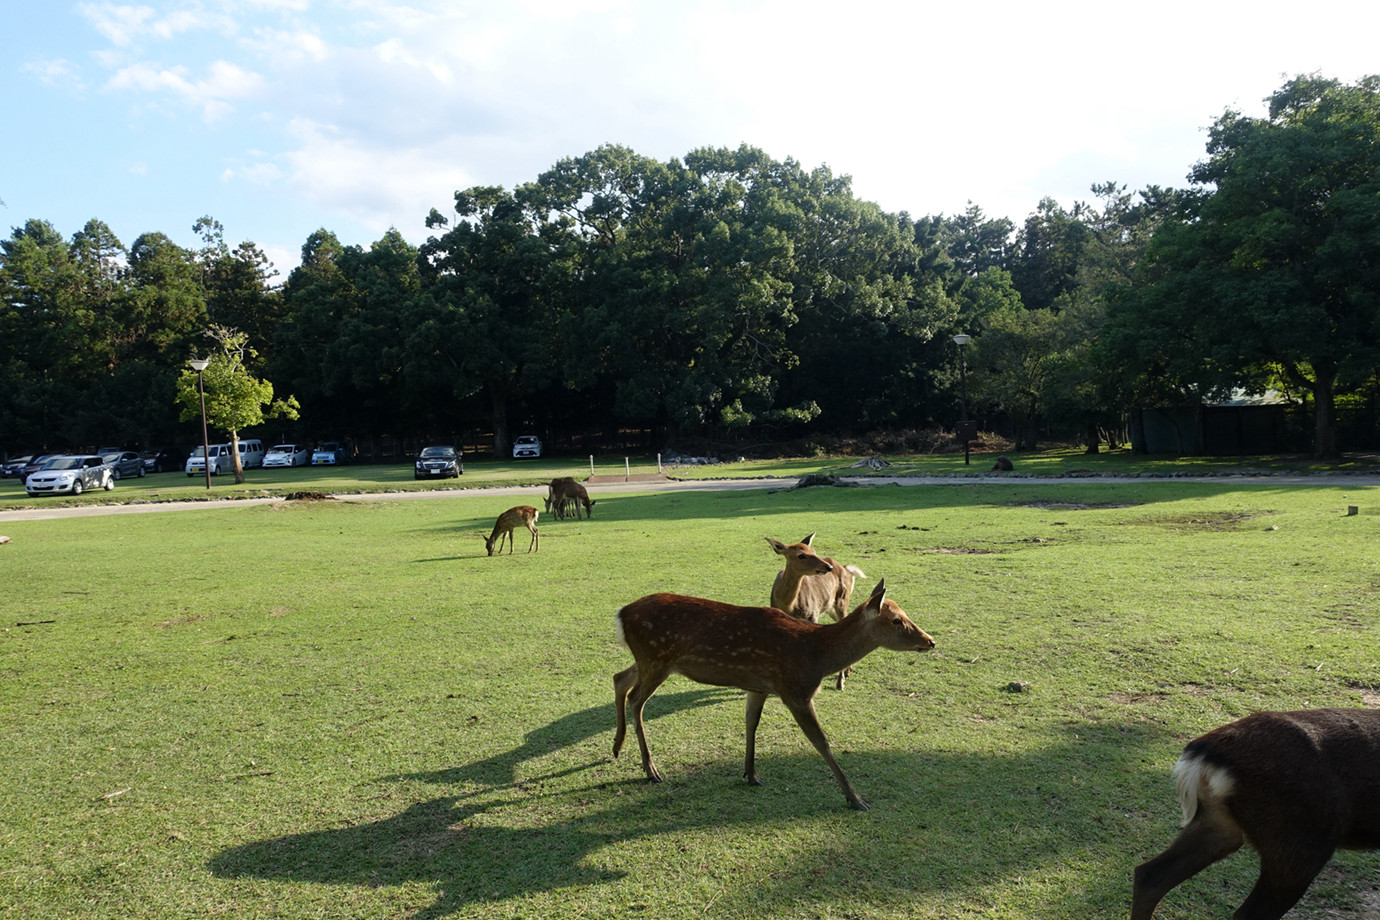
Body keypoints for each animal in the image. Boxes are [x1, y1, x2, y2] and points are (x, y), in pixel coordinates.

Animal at [612, 579, 927, 811]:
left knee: (619, 678)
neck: (816, 655)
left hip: (650, 660)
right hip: (656, 659)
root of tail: (621, 613)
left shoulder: (759, 686)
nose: (930, 641)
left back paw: (617, 747)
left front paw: (751, 774)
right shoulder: (795, 691)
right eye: (897, 620)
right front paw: (856, 799)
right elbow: (821, 742)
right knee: (636, 699)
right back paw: (650, 769)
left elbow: (751, 723)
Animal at [761, 532, 866, 689]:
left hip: (842, 600)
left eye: (814, 551)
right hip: (830, 607)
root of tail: (847, 570)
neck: (789, 606)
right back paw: (848, 671)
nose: (828, 567)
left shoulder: (812, 615)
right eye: (801, 555)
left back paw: (840, 682)